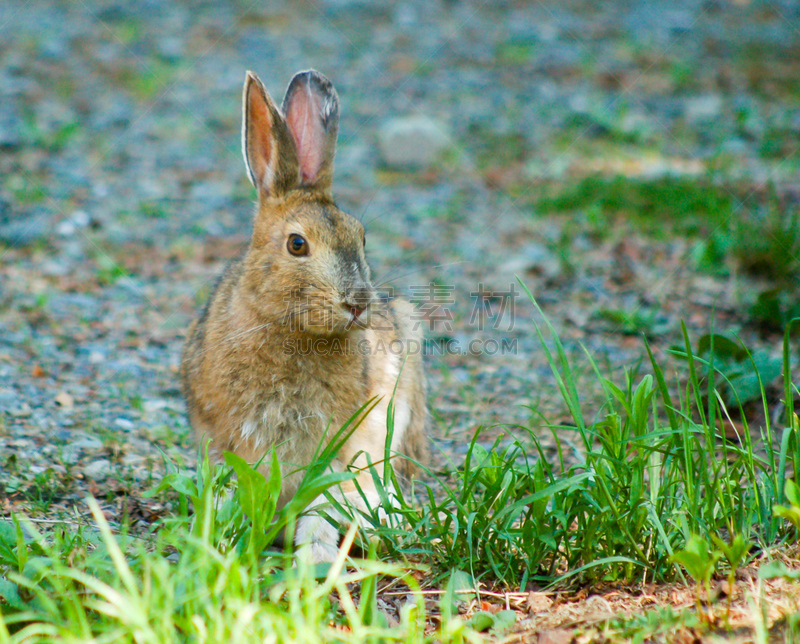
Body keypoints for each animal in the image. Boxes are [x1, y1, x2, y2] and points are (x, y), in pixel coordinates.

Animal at [183, 70, 432, 560]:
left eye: (362, 237)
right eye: (297, 244)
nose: (357, 303)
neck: (287, 328)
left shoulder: (342, 447)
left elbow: (320, 506)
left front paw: (313, 557)